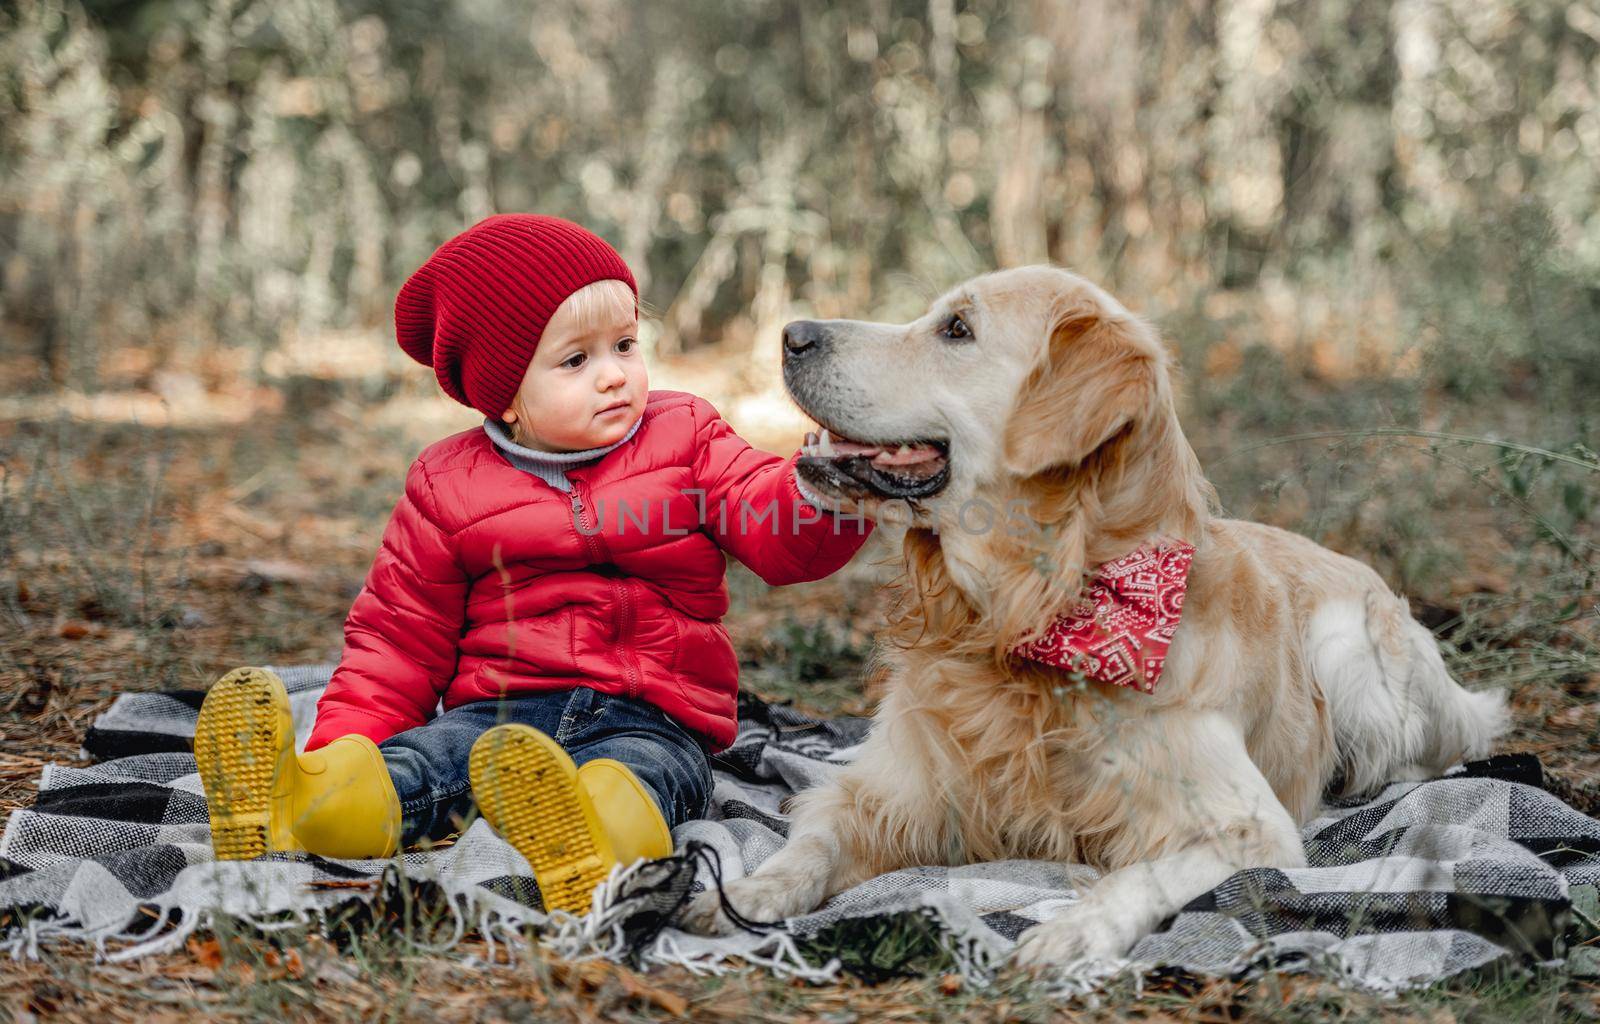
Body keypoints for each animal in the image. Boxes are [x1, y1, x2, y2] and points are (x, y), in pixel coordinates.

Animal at [681, 265, 1504, 966]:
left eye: (956, 329)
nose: (791, 333)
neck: (1030, 619)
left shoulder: (1250, 827)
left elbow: (1140, 874)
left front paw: (1072, 932)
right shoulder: (886, 791)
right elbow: (811, 843)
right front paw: (746, 892)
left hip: (1353, 654)